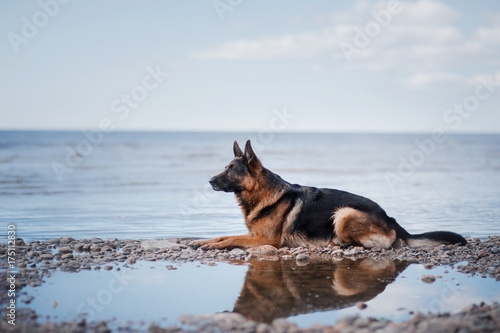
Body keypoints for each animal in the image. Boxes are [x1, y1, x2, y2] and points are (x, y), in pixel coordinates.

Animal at [189, 139, 466, 249]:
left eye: (232, 169)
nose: (210, 181)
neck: (262, 194)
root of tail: (391, 219)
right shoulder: (253, 235)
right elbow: (223, 236)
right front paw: (202, 241)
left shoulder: (265, 240)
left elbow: (230, 240)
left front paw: (212, 245)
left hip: (343, 213)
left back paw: (338, 243)